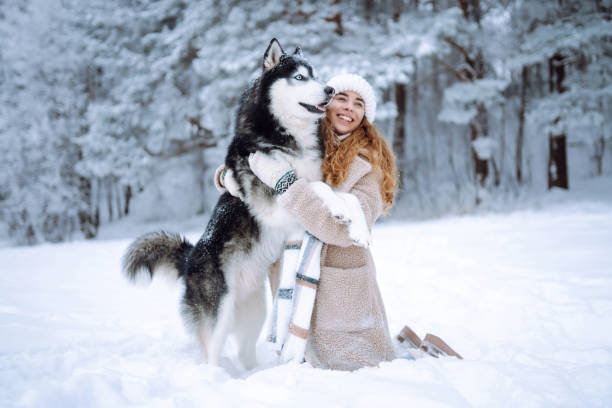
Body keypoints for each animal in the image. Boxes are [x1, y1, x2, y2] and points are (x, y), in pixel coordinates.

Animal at [121, 39, 342, 370]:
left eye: (315, 75)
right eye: (299, 77)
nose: (330, 89)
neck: (284, 137)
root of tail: (189, 260)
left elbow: (319, 184)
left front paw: (343, 202)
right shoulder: (272, 203)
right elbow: (310, 187)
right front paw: (341, 207)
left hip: (256, 312)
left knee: (244, 353)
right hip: (217, 315)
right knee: (210, 355)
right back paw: (214, 376)